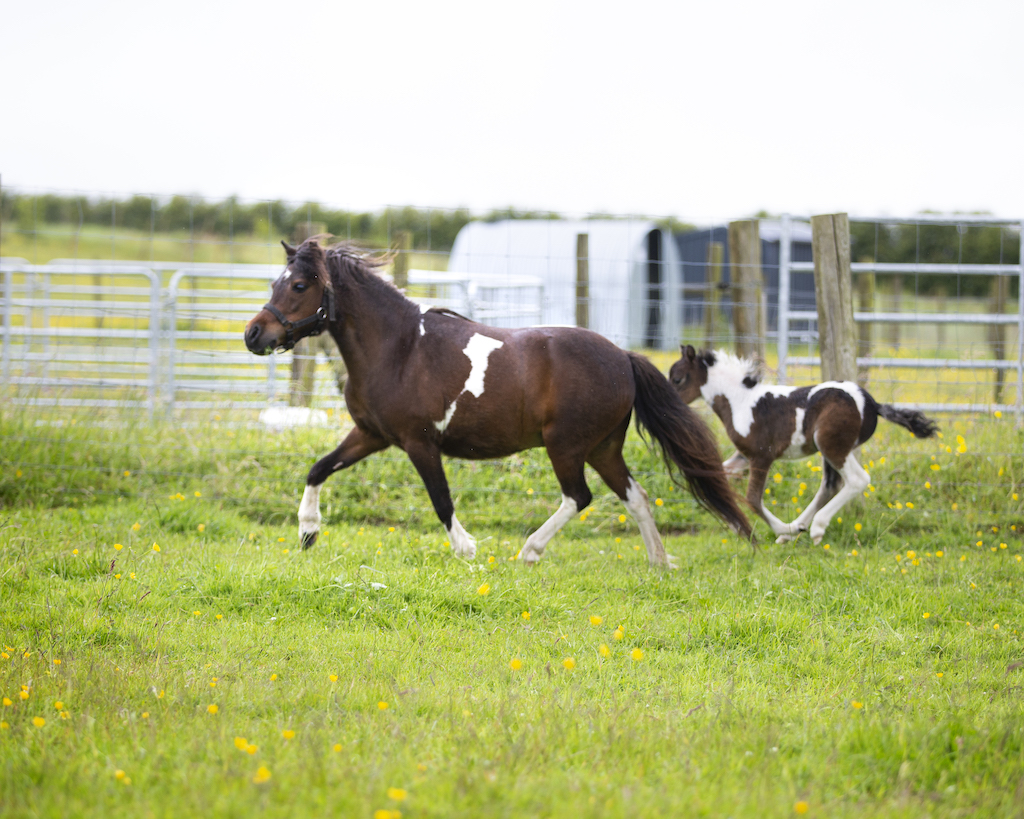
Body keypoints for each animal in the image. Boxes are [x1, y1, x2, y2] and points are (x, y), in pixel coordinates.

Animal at [243, 239, 752, 567]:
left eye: (300, 285)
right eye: (276, 282)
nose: (253, 335)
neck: (399, 349)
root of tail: (623, 359)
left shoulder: (419, 442)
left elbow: (441, 499)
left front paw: (467, 550)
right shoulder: (372, 434)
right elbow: (318, 469)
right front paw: (308, 531)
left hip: (566, 446)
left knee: (579, 497)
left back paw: (530, 551)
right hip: (603, 447)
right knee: (635, 496)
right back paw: (660, 562)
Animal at [669, 345, 938, 545]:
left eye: (678, 379)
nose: (669, 402)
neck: (740, 402)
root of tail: (873, 404)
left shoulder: (761, 456)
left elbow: (753, 499)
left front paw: (781, 529)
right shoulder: (742, 456)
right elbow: (718, 477)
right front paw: (738, 525)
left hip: (832, 445)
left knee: (857, 480)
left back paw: (812, 528)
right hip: (833, 449)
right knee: (830, 485)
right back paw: (799, 527)